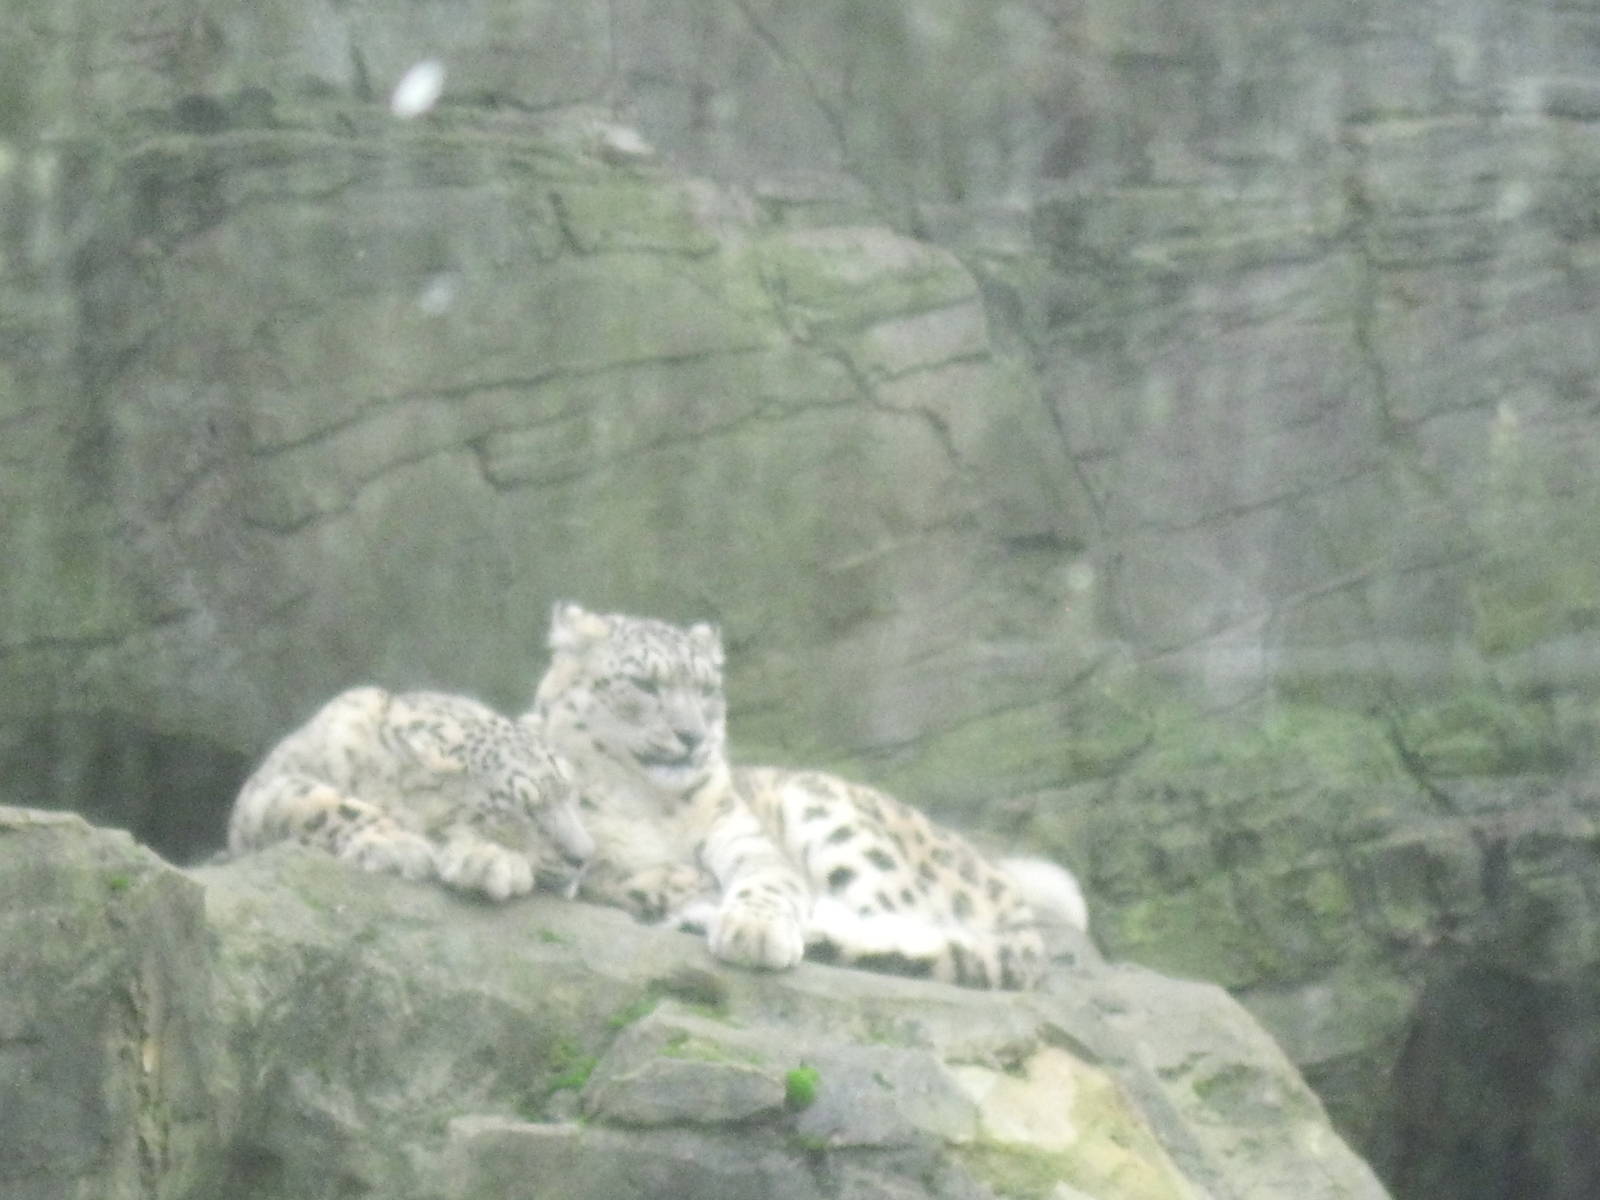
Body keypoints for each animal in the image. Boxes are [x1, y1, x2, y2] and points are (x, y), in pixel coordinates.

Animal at [228, 686, 594, 901]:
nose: (582, 858)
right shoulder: (267, 786)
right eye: (522, 808)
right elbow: (319, 802)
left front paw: (485, 859)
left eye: (569, 792)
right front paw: (395, 844)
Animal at [525, 603, 1088, 990]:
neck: (643, 799)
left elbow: (769, 880)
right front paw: (674, 886)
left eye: (707, 690)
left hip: (831, 821)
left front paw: (753, 931)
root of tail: (1002, 885)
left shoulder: (745, 837)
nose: (692, 736)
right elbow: (611, 872)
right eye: (643, 683)